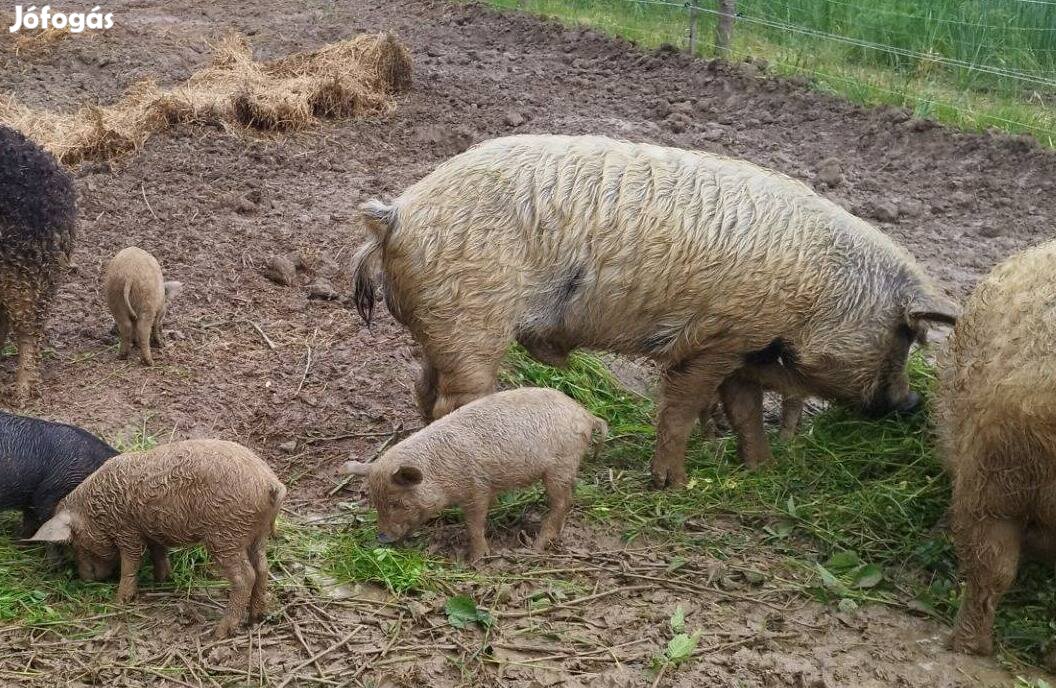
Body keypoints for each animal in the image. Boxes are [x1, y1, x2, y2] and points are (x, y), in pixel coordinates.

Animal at [28, 441, 285, 641]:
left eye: (75, 543)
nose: (86, 578)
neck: (97, 510)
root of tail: (271, 484)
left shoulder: (128, 532)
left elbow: (131, 563)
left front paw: (121, 601)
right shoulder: (151, 531)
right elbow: (158, 552)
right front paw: (161, 580)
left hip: (226, 535)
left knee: (245, 576)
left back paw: (220, 632)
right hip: (256, 536)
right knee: (262, 569)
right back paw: (255, 618)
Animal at [342, 390, 608, 561]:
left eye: (397, 502)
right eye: (375, 502)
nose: (382, 538)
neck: (439, 470)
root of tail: (587, 414)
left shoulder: (476, 488)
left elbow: (474, 524)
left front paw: (477, 560)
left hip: (561, 466)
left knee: (561, 503)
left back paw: (535, 547)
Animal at [352, 134, 958, 485]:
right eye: (906, 335)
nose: (912, 402)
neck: (823, 291)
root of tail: (396, 212)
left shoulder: (741, 342)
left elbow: (743, 407)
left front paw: (761, 469)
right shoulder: (716, 338)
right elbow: (683, 408)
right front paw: (672, 482)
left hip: (443, 326)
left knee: (424, 388)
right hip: (472, 321)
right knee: (455, 402)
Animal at [941, 240, 1056, 662]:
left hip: (988, 474)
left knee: (988, 565)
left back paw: (964, 645)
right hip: (995, 473)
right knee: (992, 566)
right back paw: (970, 646)